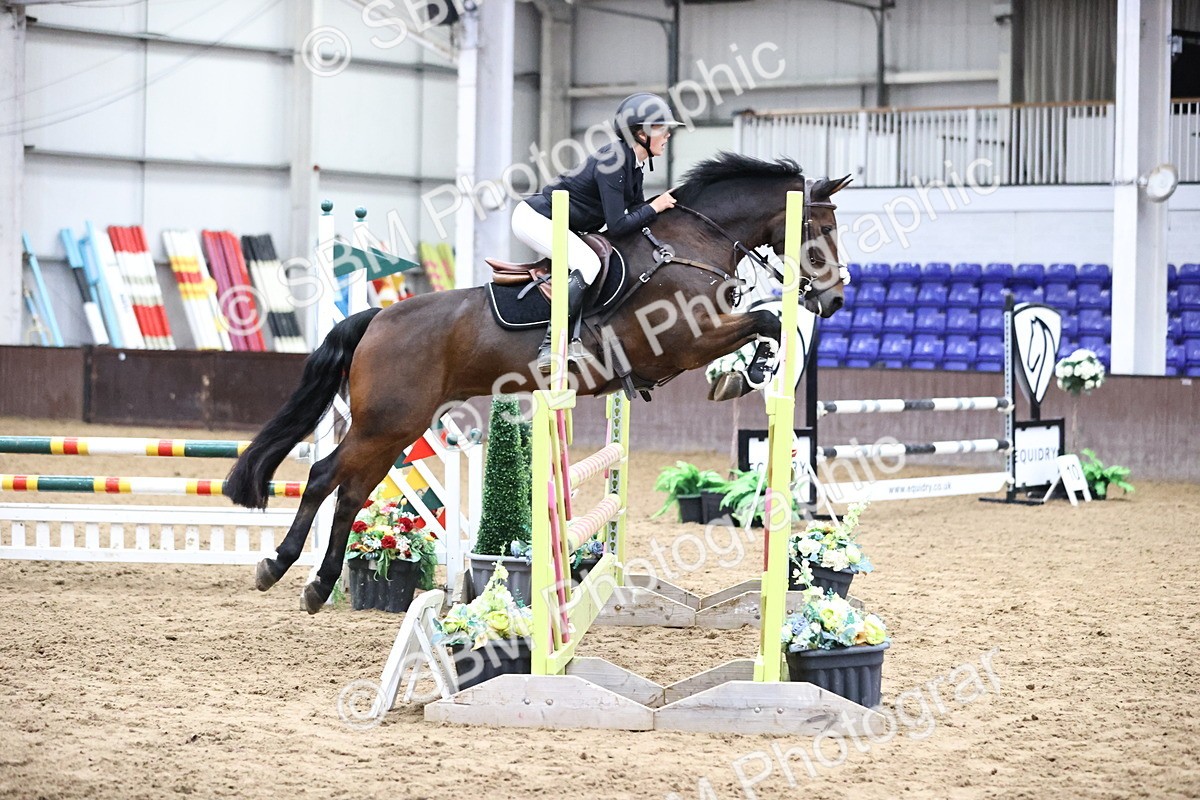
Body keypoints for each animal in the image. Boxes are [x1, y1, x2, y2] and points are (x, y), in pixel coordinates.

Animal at [225, 152, 851, 613]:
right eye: (821, 229)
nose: (836, 299)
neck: (689, 247)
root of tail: (377, 318)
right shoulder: (683, 341)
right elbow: (766, 320)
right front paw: (750, 372)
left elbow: (764, 321)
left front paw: (748, 372)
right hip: (387, 420)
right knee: (325, 476)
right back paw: (279, 567)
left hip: (398, 426)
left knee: (351, 489)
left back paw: (315, 585)